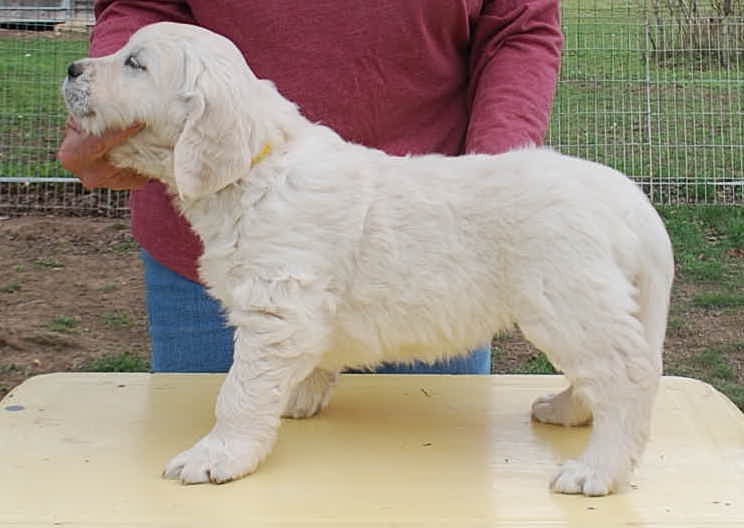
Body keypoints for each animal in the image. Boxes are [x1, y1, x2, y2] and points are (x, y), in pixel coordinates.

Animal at [65, 22, 676, 498]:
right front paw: (297, 397)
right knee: (601, 376)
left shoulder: (276, 308)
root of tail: (630, 197)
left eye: (136, 63)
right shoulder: (296, 313)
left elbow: (238, 391)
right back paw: (566, 409)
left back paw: (597, 470)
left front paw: (218, 455)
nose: (71, 68)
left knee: (627, 377)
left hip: (567, 299)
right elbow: (298, 366)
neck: (257, 167)